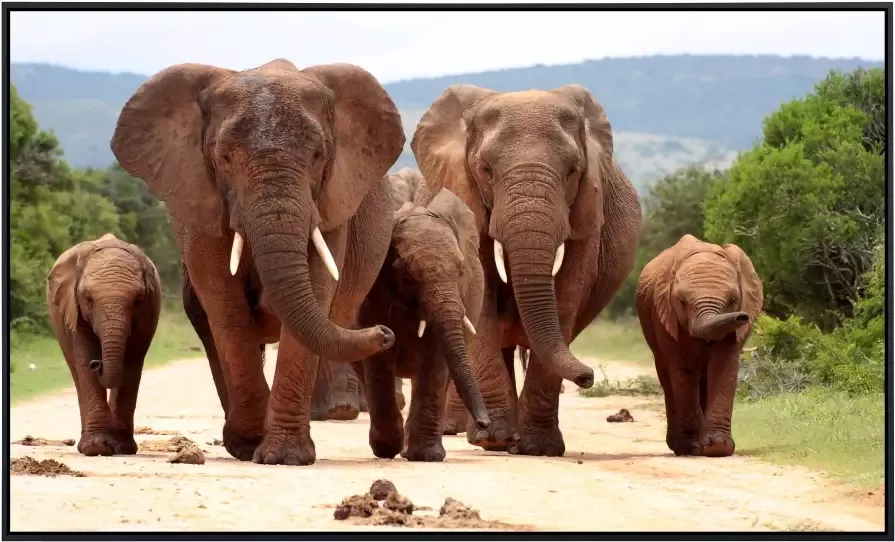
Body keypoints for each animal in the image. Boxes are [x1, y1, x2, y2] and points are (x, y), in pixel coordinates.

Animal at [45, 235, 162, 460]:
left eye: (137, 300)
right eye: (88, 298)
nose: (97, 363)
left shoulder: (148, 311)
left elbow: (133, 361)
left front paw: (122, 448)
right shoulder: (73, 308)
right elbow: (84, 358)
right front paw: (97, 448)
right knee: (76, 371)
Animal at [112, 59, 406, 468]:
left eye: (319, 155)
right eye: (223, 157)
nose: (385, 333)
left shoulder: (331, 202)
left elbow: (317, 291)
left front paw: (284, 456)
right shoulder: (203, 203)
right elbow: (226, 306)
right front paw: (251, 445)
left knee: (341, 325)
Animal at [356, 170, 490, 464]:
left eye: (461, 270)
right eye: (407, 276)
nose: (485, 424)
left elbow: (436, 357)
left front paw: (425, 456)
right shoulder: (374, 290)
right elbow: (380, 357)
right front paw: (387, 449)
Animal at [412, 86, 644, 460]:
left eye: (573, 171)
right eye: (486, 170)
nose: (588, 377)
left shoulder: (586, 214)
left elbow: (566, 295)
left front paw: (539, 448)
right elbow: (483, 298)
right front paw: (494, 439)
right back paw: (490, 437)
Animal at [636, 234, 764, 460]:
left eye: (733, 300)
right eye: (682, 302)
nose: (742, 317)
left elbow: (723, 367)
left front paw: (717, 448)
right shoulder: (666, 317)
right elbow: (683, 370)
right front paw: (693, 448)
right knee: (668, 377)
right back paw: (680, 447)